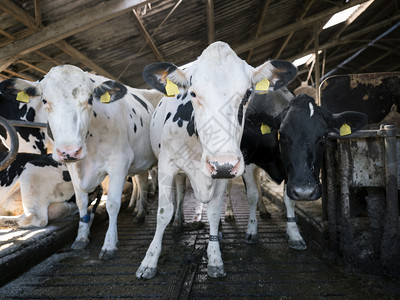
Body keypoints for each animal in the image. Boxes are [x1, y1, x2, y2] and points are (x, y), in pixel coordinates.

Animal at [0, 65, 162, 258]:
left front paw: (109, 244)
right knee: (141, 180)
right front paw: (81, 237)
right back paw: (138, 211)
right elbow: (82, 203)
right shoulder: (73, 167)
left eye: (90, 99)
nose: (69, 151)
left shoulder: (119, 161)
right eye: (44, 100)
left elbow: (112, 204)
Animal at [136, 40, 296, 278]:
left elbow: (212, 212)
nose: (222, 163)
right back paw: (177, 223)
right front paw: (149, 261)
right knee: (179, 193)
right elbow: (164, 212)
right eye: (193, 93)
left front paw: (214, 258)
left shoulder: (223, 172)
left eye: (248, 94)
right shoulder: (166, 165)